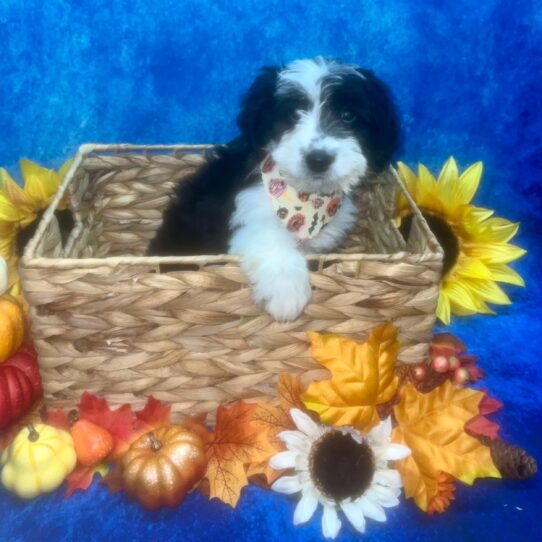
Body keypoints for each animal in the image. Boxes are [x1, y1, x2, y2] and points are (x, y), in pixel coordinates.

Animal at [148, 58, 400, 324]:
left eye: (348, 116)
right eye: (293, 114)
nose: (318, 159)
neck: (305, 197)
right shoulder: (246, 214)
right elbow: (271, 238)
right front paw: (286, 294)